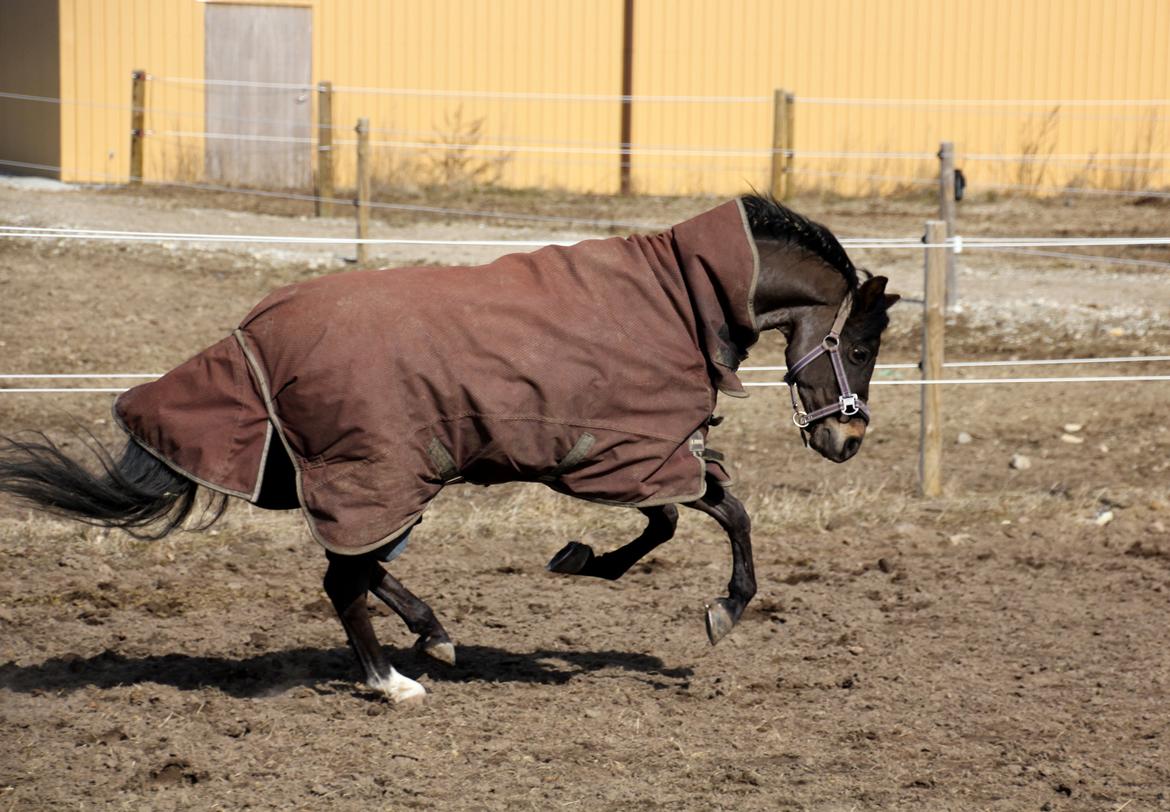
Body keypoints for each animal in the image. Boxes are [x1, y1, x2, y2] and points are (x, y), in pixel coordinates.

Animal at [0, 195, 898, 704]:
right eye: (860, 347)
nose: (849, 438)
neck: (681, 297)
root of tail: (252, 332)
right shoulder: (622, 454)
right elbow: (720, 514)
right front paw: (719, 609)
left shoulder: (623, 454)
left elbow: (676, 522)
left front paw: (582, 560)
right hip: (384, 474)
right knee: (344, 578)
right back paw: (395, 682)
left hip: (372, 477)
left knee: (355, 567)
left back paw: (431, 635)